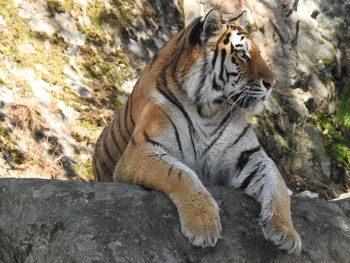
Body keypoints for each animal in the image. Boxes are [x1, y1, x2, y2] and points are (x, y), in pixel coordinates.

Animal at [93, 9, 300, 255]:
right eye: (242, 55)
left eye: (259, 53)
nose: (271, 83)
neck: (208, 111)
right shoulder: (142, 150)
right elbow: (181, 174)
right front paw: (203, 225)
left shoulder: (251, 156)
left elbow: (277, 184)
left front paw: (286, 232)